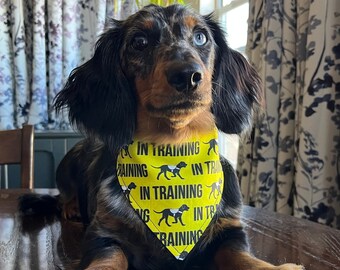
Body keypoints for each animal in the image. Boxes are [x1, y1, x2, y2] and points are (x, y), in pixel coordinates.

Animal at [19, 4, 306, 270]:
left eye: (200, 37)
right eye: (139, 42)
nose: (187, 75)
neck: (173, 145)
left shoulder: (230, 229)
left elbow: (242, 257)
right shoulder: (103, 233)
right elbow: (108, 258)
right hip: (69, 161)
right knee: (63, 195)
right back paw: (72, 207)